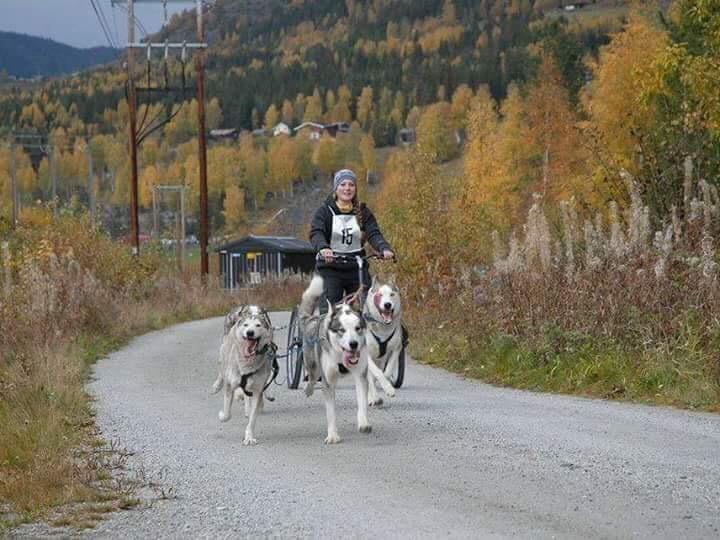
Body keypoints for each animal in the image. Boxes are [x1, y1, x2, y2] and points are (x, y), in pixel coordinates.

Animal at [211, 306, 276, 446]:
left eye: (258, 325)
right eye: (246, 325)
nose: (250, 332)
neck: (247, 364)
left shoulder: (257, 390)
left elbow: (252, 419)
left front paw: (249, 437)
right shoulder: (230, 385)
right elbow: (227, 413)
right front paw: (222, 415)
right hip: (223, 354)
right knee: (221, 371)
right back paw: (216, 386)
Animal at [300, 276, 396, 446]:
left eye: (358, 328)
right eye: (341, 330)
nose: (353, 344)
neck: (340, 355)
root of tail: (313, 319)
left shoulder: (360, 374)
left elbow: (362, 401)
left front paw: (364, 423)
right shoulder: (328, 382)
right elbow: (331, 412)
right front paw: (333, 435)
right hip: (312, 365)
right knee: (311, 377)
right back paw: (308, 388)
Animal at [366, 276, 404, 408]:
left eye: (392, 294)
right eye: (380, 295)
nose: (387, 304)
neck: (383, 329)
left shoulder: (396, 348)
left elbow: (387, 371)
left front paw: (388, 388)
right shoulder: (365, 355)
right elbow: (376, 373)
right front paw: (381, 391)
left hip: (381, 359)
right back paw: (373, 397)